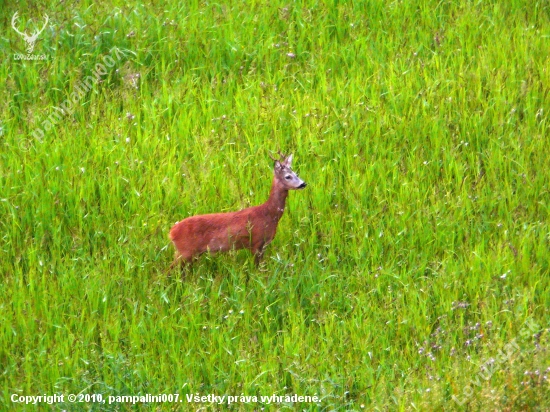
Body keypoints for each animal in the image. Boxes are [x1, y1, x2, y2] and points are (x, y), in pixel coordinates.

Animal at [169, 151, 306, 270]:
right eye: (288, 176)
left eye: (296, 174)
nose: (303, 184)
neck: (269, 214)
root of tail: (172, 232)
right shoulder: (256, 243)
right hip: (185, 251)